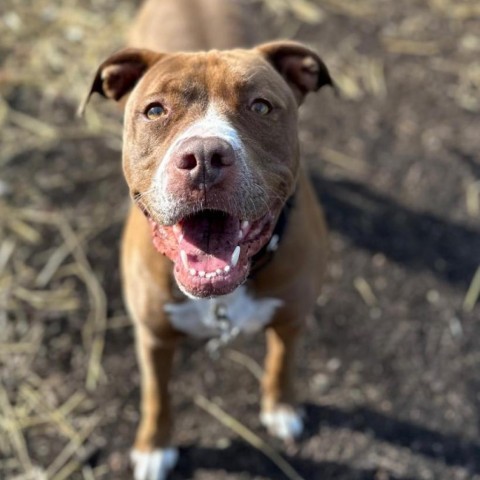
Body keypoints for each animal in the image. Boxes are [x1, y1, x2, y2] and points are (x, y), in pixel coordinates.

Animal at [80, 0, 332, 476]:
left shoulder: (292, 318)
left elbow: (282, 363)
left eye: (261, 107)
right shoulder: (153, 336)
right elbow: (157, 395)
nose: (204, 157)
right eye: (155, 111)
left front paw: (281, 407)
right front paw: (154, 446)